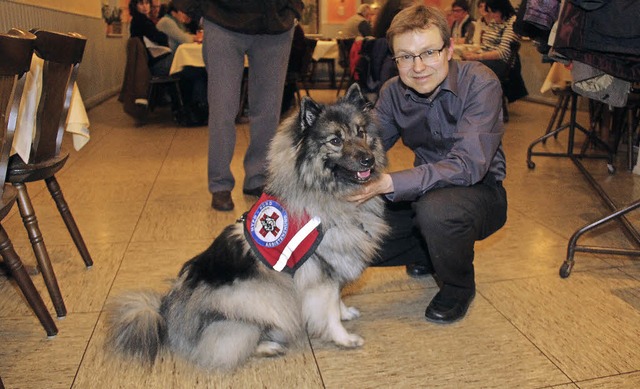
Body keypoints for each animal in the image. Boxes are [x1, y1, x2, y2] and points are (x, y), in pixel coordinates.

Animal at [105, 84, 388, 370]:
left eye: (361, 133)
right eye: (335, 141)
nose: (368, 159)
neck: (325, 192)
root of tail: (167, 314)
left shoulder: (334, 266)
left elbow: (337, 299)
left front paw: (346, 312)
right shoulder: (320, 275)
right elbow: (328, 312)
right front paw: (344, 338)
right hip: (258, 296)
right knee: (230, 343)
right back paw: (268, 346)